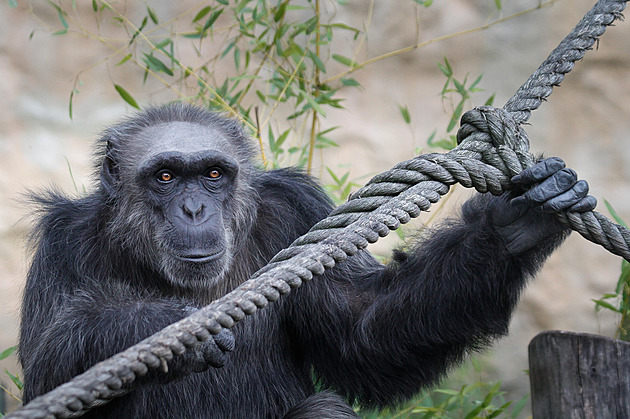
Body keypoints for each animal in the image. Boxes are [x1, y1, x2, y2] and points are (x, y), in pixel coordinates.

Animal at [19, 103, 600, 418]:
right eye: (165, 176)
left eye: (212, 173)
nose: (194, 207)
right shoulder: (64, 244)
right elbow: (46, 372)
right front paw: (163, 326)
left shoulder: (296, 214)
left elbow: (363, 330)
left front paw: (514, 222)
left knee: (325, 407)